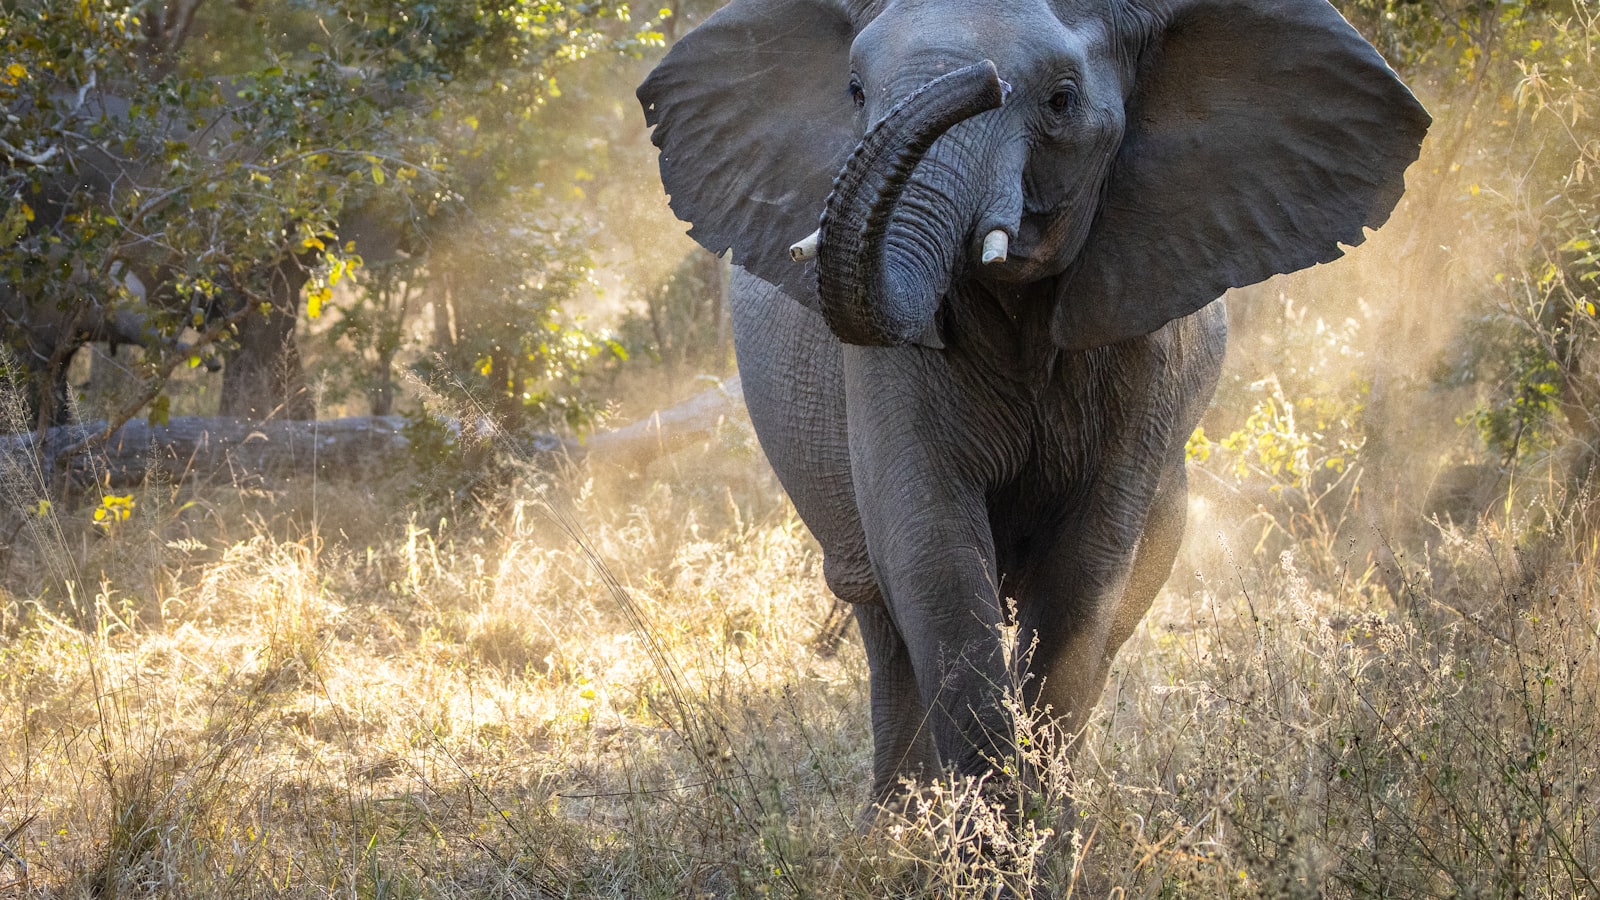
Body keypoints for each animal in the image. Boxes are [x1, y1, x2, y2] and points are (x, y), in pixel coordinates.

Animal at [638, 0, 1429, 812]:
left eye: (1060, 101)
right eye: (855, 91)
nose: (979, 80)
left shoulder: (1146, 340)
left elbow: (1084, 572)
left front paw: (1043, 831)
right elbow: (933, 551)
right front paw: (989, 834)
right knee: (879, 612)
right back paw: (897, 828)